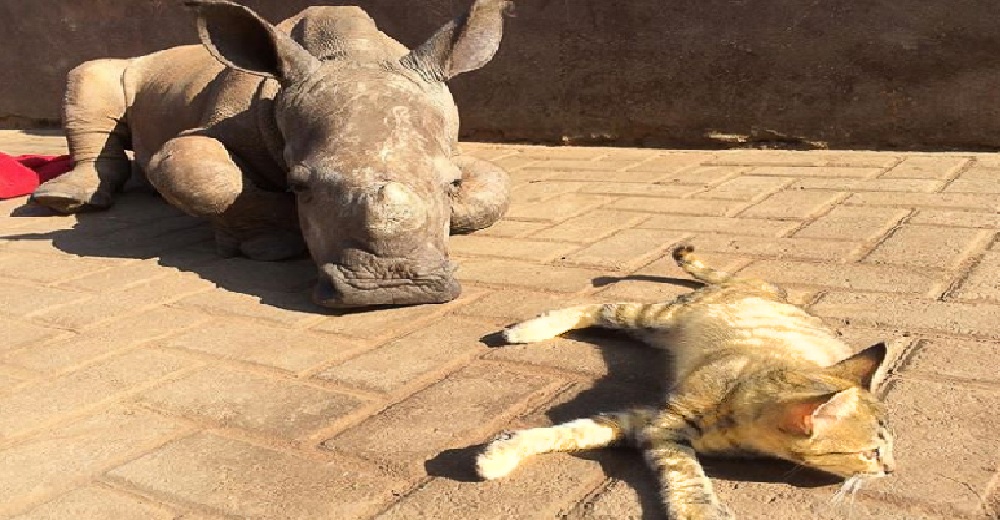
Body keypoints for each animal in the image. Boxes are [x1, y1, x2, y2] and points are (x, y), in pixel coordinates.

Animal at [472, 245, 896, 520]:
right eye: (870, 453)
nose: (891, 471)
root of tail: (767, 288)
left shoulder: (642, 420)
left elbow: (575, 430)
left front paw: (503, 450)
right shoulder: (663, 424)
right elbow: (684, 473)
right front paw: (700, 509)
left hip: (654, 331)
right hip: (655, 316)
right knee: (598, 307)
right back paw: (529, 329)